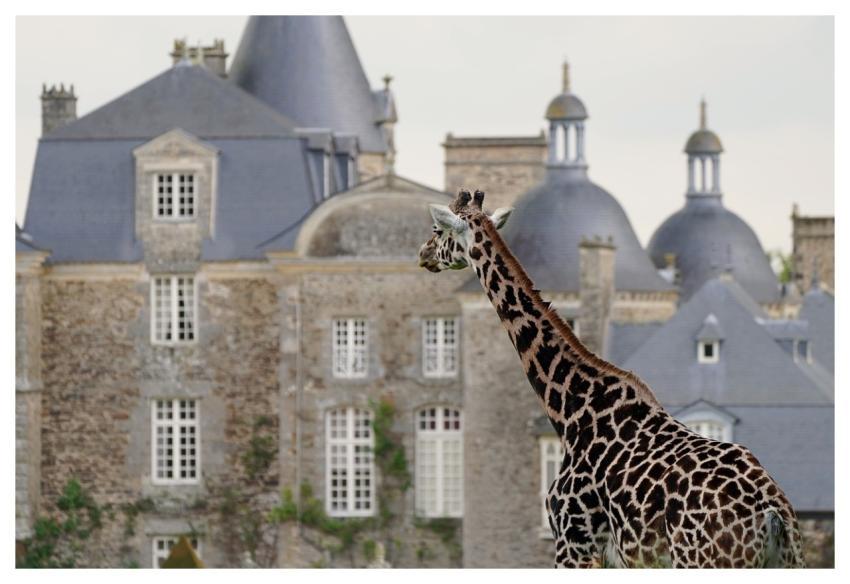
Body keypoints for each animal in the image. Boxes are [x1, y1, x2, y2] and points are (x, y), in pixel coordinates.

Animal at [418, 189, 805, 568]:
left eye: (438, 230)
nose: (423, 255)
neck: (569, 407)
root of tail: (774, 514)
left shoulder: (574, 543)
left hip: (703, 562)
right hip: (787, 561)